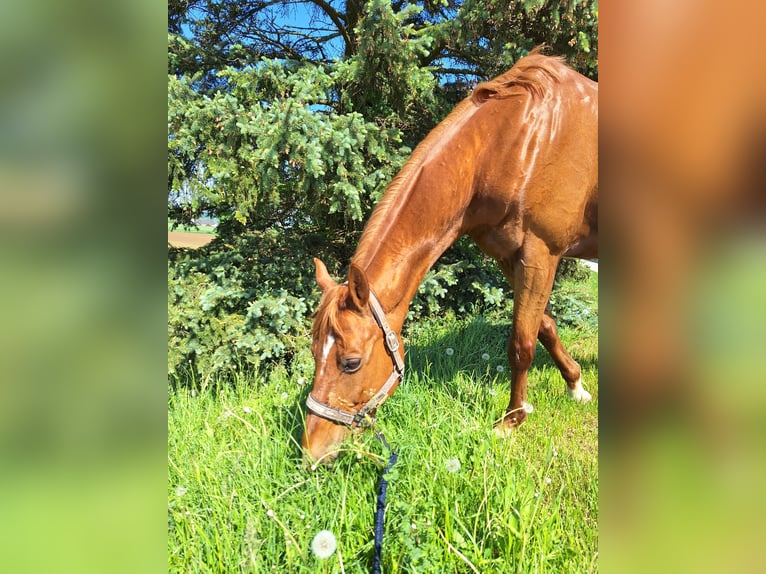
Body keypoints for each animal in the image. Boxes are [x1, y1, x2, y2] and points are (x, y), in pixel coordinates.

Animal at [304, 54, 596, 464]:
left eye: (351, 363)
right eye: (315, 352)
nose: (311, 452)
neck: (522, 140)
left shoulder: (541, 252)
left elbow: (521, 342)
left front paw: (511, 421)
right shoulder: (510, 255)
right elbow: (545, 326)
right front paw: (575, 385)